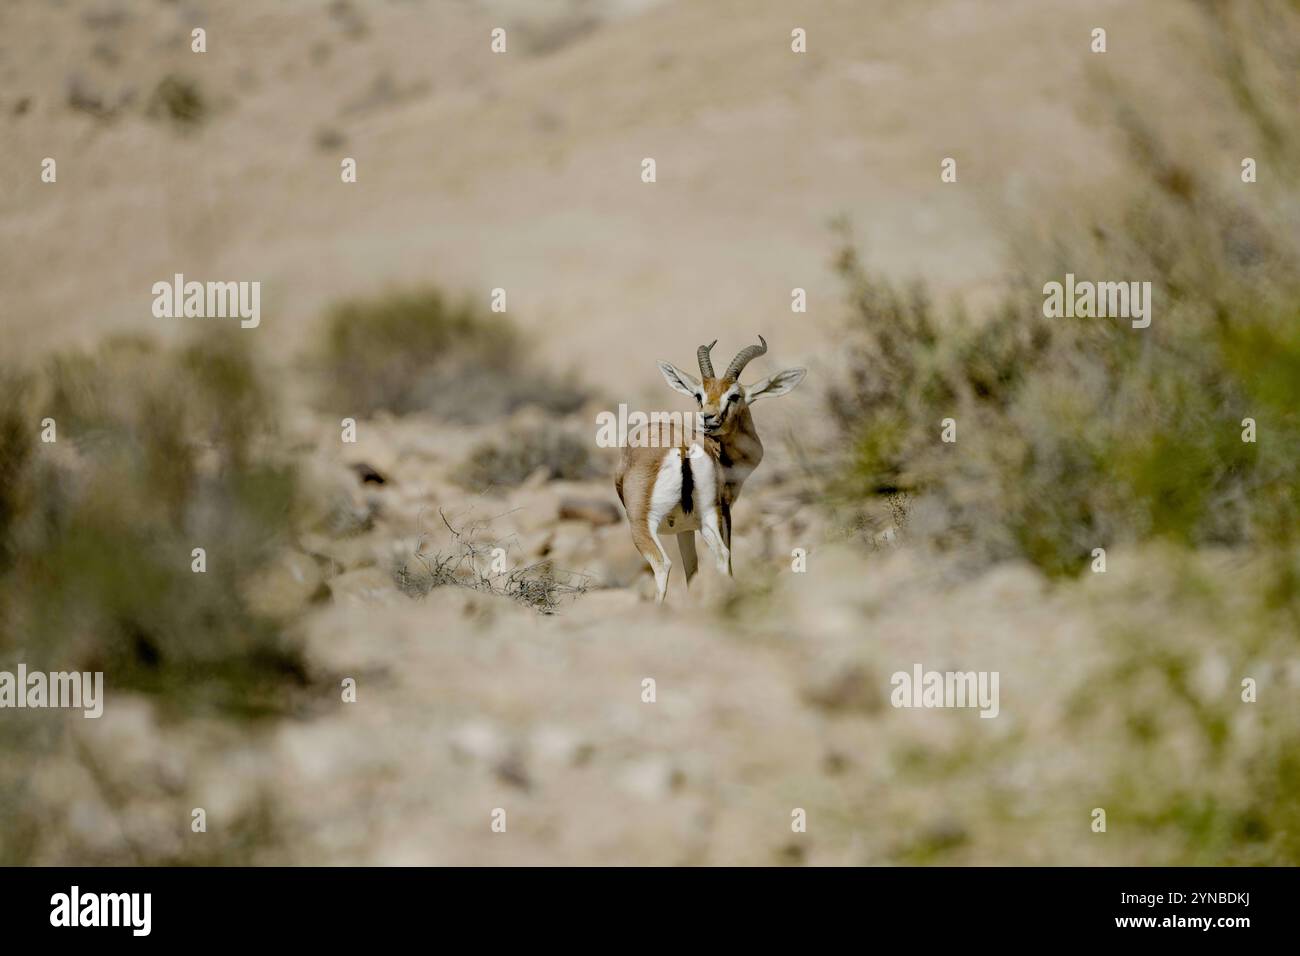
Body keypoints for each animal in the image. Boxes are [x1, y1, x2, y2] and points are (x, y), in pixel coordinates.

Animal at [614, 336, 806, 603]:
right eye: (699, 394)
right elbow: (694, 569)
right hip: (706, 518)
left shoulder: (698, 523)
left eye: (734, 395)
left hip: (642, 525)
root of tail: (682, 446)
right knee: (722, 556)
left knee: (663, 565)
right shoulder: (692, 524)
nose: (708, 417)